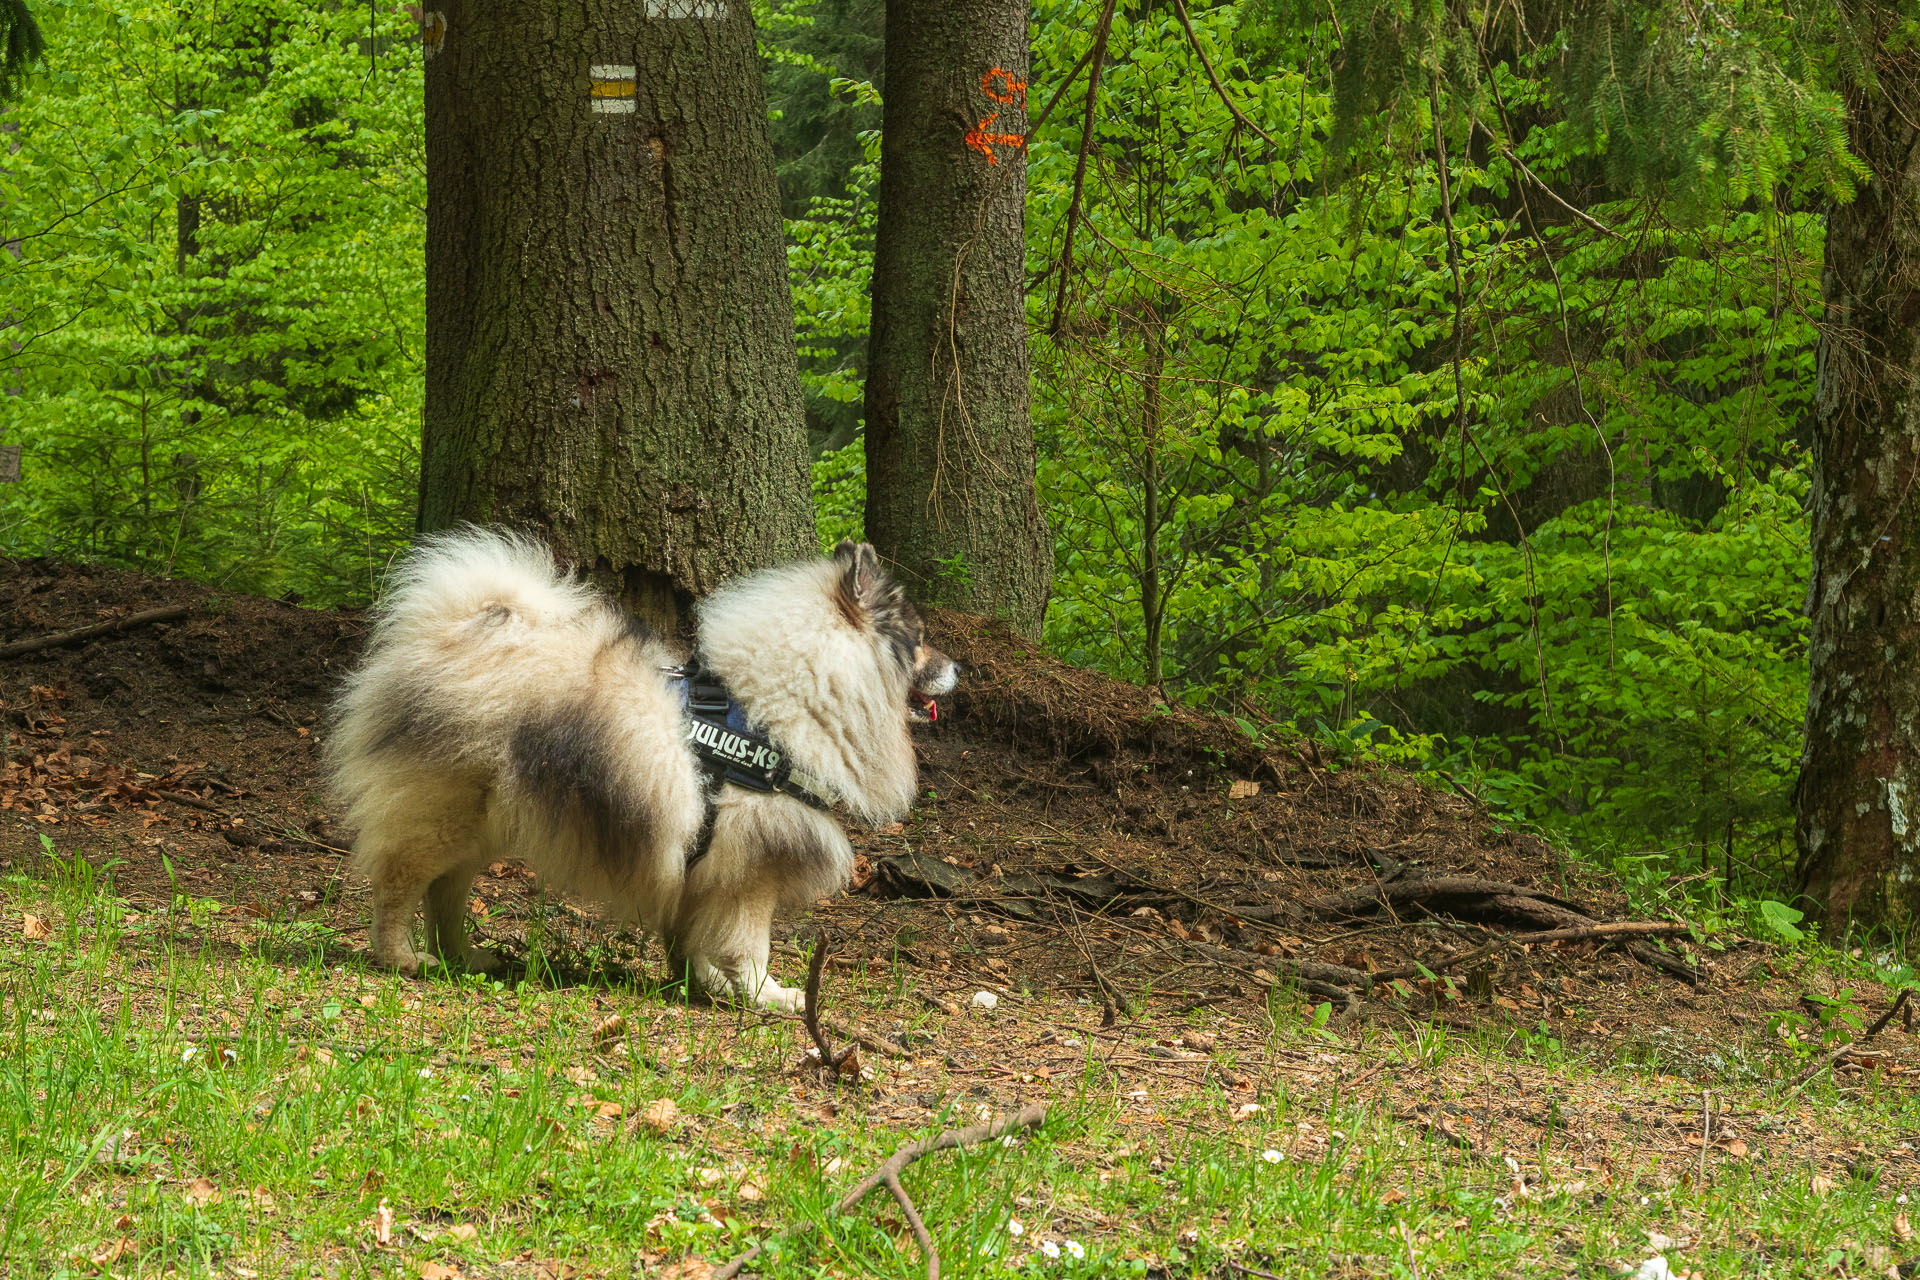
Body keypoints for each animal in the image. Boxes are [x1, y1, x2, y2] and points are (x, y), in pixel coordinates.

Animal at [334, 529, 960, 1013]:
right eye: (919, 642)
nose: (958, 668)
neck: (783, 707)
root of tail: (449, 630)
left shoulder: (706, 870)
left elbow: (695, 938)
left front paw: (705, 985)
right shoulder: (751, 868)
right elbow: (748, 944)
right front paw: (767, 994)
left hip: (482, 823)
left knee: (446, 893)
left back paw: (463, 957)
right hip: (441, 815)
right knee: (399, 885)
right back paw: (401, 957)